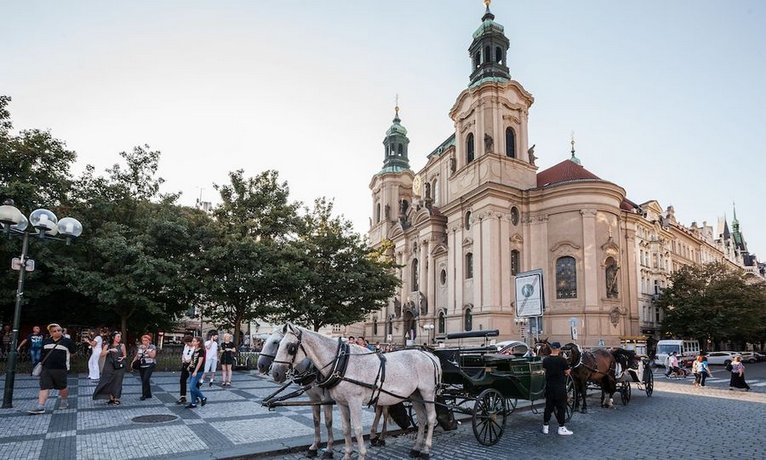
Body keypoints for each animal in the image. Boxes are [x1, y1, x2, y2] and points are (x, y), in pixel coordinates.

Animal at [272, 324, 440, 460]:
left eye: (290, 347)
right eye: (278, 344)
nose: (275, 373)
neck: (341, 364)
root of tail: (429, 355)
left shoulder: (355, 401)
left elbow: (357, 429)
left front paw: (361, 455)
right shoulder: (341, 403)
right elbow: (346, 429)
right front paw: (347, 454)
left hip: (427, 393)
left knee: (431, 418)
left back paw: (425, 450)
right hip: (415, 395)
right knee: (422, 419)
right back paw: (416, 449)